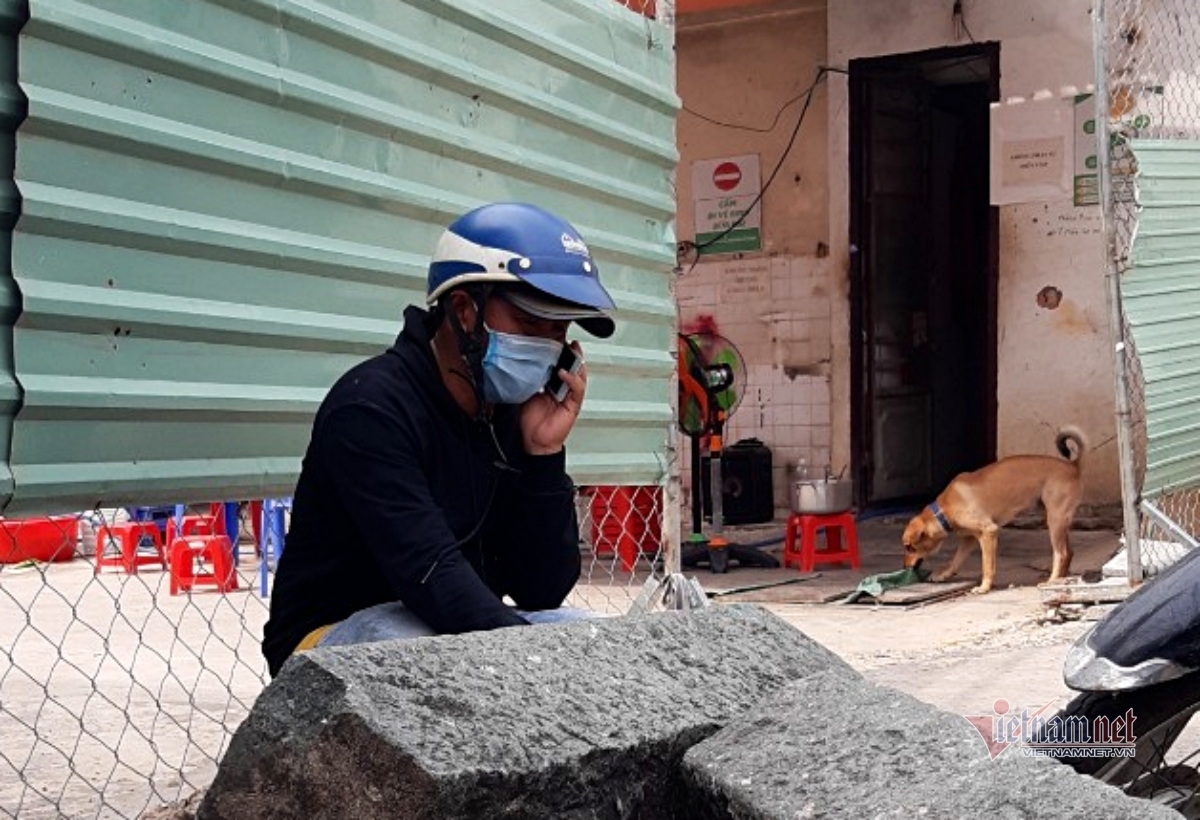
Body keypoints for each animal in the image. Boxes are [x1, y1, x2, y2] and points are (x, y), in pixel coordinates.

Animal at [902, 427, 1089, 593]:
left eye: (910, 547)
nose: (904, 566)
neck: (944, 510)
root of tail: (1073, 466)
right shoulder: (970, 538)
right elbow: (956, 560)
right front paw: (944, 574)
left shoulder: (988, 532)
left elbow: (987, 566)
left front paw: (984, 587)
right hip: (1058, 520)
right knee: (1069, 552)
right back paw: (1061, 580)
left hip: (1054, 520)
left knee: (1061, 553)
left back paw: (1052, 581)